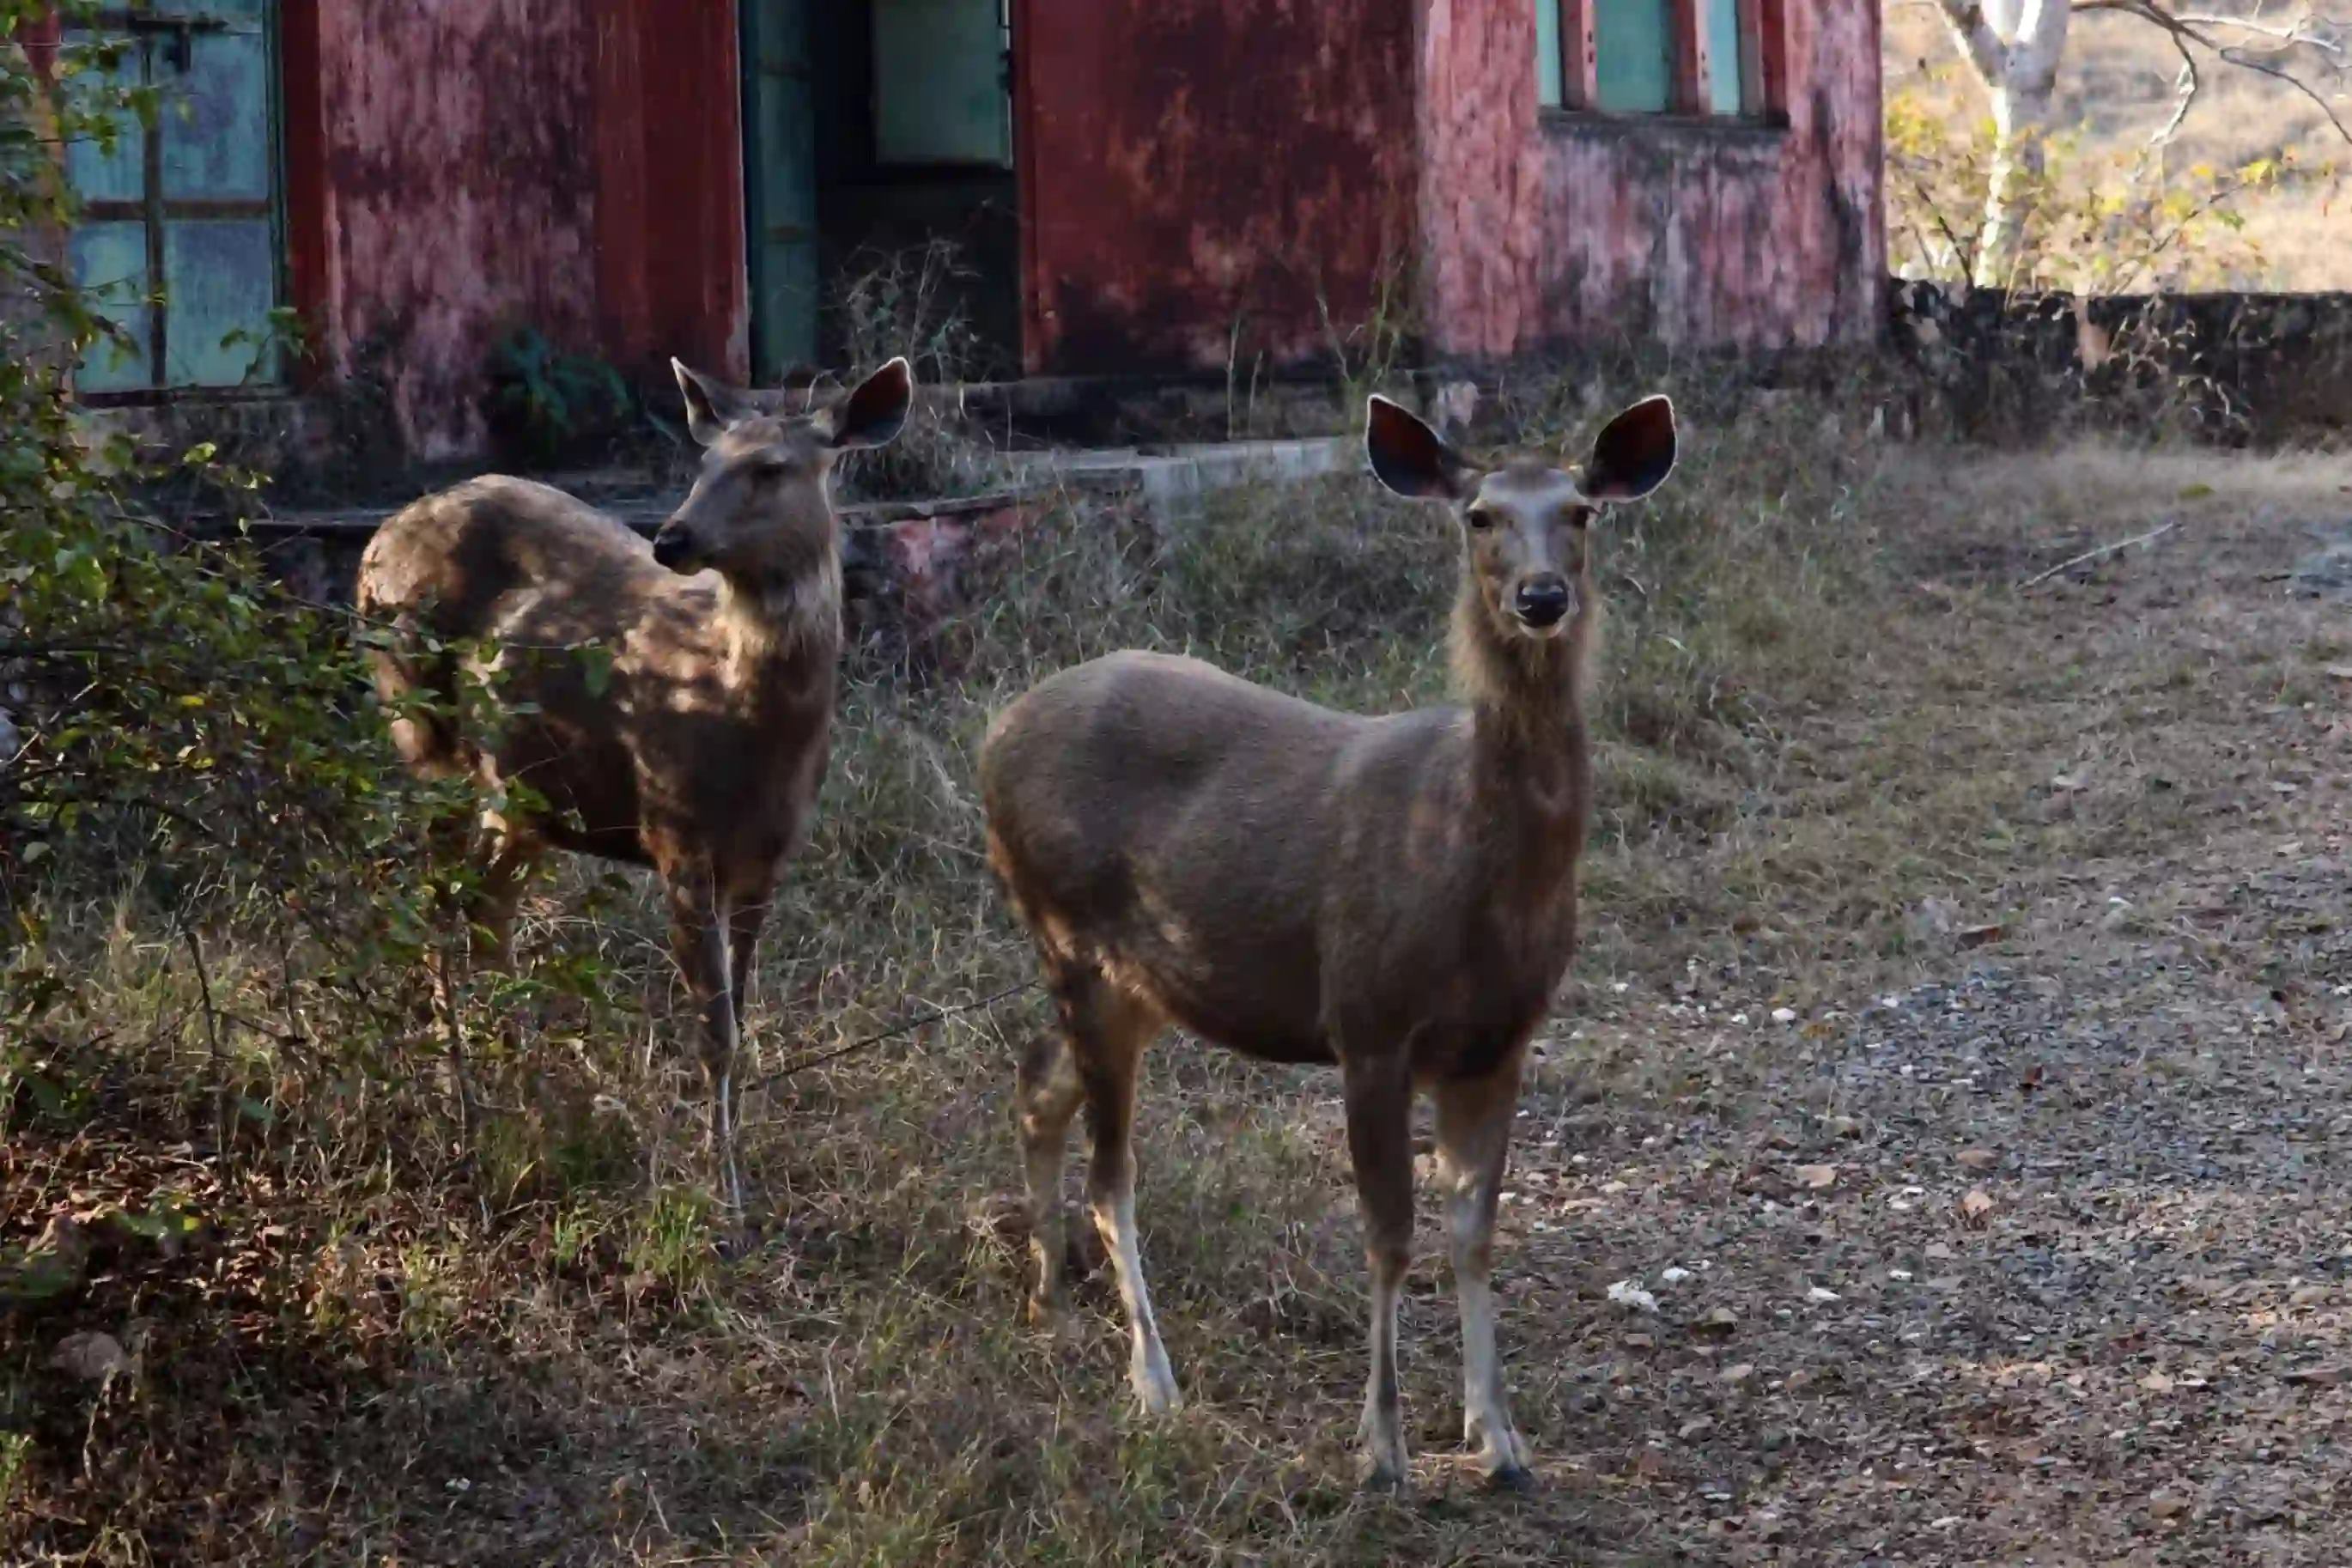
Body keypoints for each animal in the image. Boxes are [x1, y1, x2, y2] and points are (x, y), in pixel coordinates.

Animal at [352, 359, 912, 1212]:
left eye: (770, 468)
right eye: (704, 461)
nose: (671, 537)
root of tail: (380, 535)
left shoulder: (768, 853)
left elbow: (742, 1015)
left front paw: (737, 1172)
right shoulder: (672, 828)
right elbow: (714, 1033)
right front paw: (727, 1202)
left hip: (520, 797)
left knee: (486, 914)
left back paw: (517, 1096)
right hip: (420, 731)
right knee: (436, 906)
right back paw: (462, 1109)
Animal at [973, 385, 1674, 1495]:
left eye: (1580, 510)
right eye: (1479, 514)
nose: (1541, 596)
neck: (1474, 869)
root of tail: (993, 732)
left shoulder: (1502, 1038)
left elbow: (1474, 1231)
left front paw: (1499, 1437)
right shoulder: (1369, 1017)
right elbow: (1388, 1235)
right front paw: (1382, 1448)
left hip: (1137, 980)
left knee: (1037, 1077)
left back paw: (1051, 1303)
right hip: (1066, 931)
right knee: (1110, 1172)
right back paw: (1152, 1377)